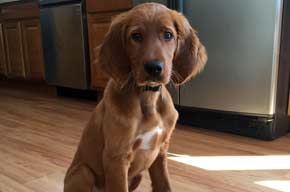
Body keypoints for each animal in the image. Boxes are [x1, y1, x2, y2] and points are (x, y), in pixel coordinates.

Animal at [64, 3, 207, 192]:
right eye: (136, 36)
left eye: (168, 35)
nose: (154, 67)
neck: (148, 97)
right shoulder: (117, 158)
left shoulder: (161, 151)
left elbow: (165, 185)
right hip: (82, 172)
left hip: (137, 176)